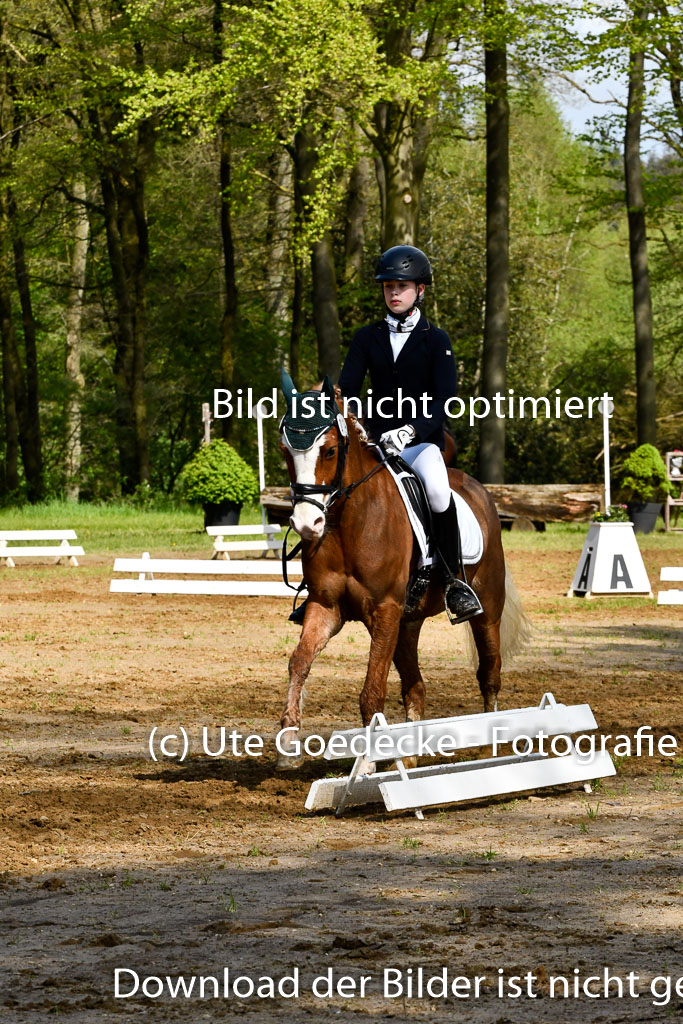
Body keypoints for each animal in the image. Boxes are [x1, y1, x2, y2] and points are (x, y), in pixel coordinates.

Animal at [277, 375, 528, 764]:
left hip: (486, 608)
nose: (307, 524)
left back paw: (490, 747)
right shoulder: (327, 607)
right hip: (408, 623)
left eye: (330, 451)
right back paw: (407, 755)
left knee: (489, 673)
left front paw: (366, 764)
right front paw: (288, 742)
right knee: (416, 687)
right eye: (285, 451)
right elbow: (299, 662)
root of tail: (478, 489)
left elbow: (372, 690)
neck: (350, 522)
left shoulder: (384, 610)